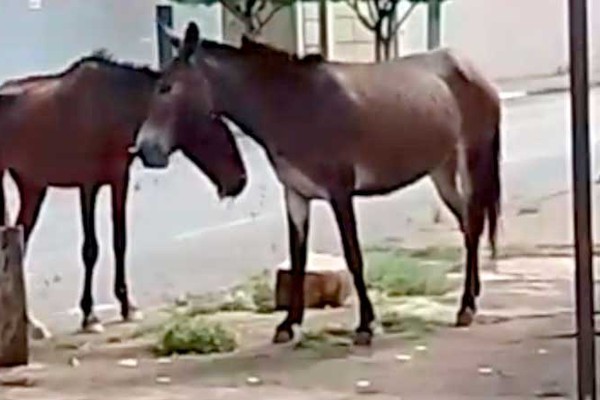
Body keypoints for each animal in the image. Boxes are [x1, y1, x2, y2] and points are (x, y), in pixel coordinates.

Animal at [0, 50, 248, 334]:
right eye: (216, 132)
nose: (240, 179)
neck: (115, 109)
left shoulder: (119, 178)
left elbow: (120, 241)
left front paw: (127, 305)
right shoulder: (89, 184)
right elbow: (90, 248)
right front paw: (90, 315)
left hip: (32, 186)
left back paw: (31, 324)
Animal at [137, 22, 502, 346]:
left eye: (167, 88)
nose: (143, 150)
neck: (295, 107)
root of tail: (472, 68)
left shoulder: (340, 193)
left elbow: (353, 256)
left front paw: (366, 325)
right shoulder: (296, 195)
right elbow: (298, 259)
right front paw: (289, 325)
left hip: (472, 159)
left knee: (473, 225)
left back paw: (466, 306)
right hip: (441, 169)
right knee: (468, 224)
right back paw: (472, 296)